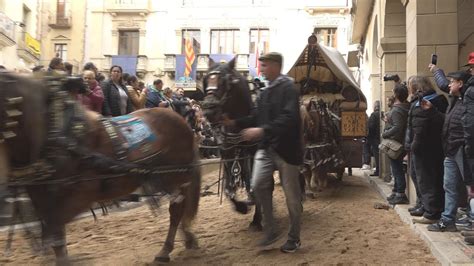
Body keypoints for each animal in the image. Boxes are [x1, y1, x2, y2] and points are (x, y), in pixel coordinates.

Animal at [0, 72, 201, 264]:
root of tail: (182, 123)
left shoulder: (82, 194)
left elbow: (54, 231)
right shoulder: (41, 198)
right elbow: (52, 235)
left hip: (177, 176)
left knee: (176, 212)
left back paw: (168, 248)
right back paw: (186, 238)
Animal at [201, 58, 262, 231]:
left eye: (226, 81)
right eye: (206, 78)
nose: (208, 109)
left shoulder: (254, 154)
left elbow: (256, 186)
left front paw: (257, 218)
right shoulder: (228, 152)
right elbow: (228, 190)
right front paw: (241, 206)